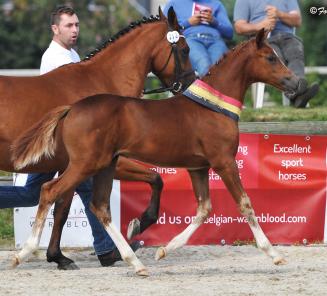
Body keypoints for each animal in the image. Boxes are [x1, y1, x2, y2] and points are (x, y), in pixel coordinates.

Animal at [0, 6, 195, 270]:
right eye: (184, 50)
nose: (191, 84)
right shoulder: (104, 161)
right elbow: (156, 178)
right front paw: (138, 224)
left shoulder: (74, 166)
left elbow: (62, 209)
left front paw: (59, 256)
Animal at [11, 28, 302, 276]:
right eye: (270, 57)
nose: (295, 82)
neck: (212, 106)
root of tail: (71, 108)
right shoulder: (224, 162)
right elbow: (245, 204)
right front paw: (274, 254)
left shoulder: (198, 167)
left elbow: (204, 209)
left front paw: (163, 250)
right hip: (86, 164)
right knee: (50, 191)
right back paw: (24, 253)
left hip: (105, 165)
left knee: (100, 206)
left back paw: (136, 263)